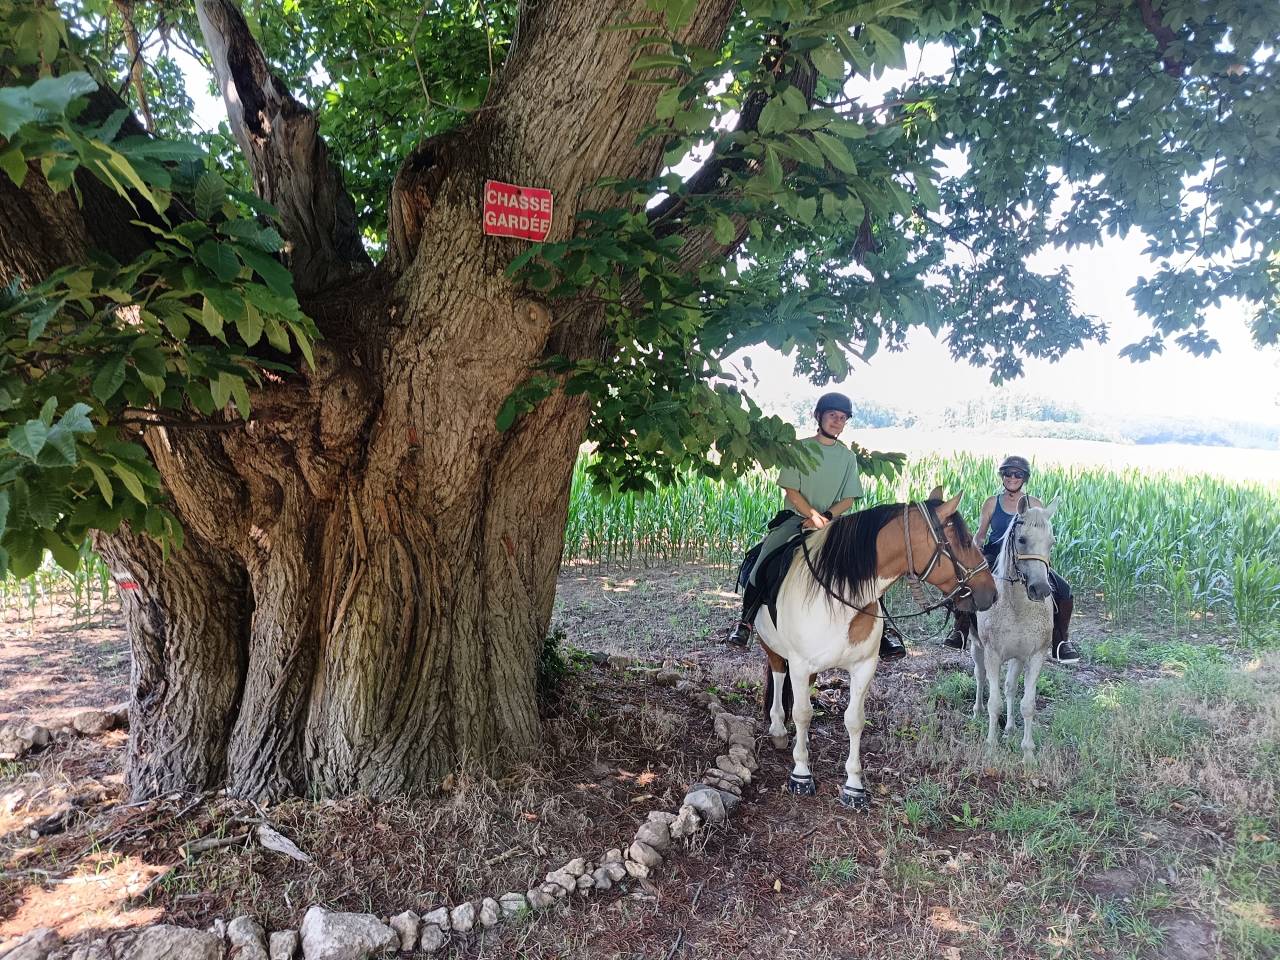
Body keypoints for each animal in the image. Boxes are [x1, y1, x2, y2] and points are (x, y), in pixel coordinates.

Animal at [754, 489, 997, 809]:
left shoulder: (864, 667)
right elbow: (803, 713)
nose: (991, 593)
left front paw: (854, 786)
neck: (839, 597)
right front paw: (801, 774)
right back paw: (779, 728)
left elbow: (854, 720)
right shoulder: (799, 663)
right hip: (773, 649)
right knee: (778, 675)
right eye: (965, 540)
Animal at [963, 497, 1058, 760]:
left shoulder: (1034, 656)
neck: (1017, 609)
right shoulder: (993, 654)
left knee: (1009, 688)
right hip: (977, 647)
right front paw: (990, 747)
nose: (1040, 589)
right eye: (1022, 540)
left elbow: (1027, 704)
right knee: (980, 677)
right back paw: (977, 712)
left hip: (1016, 658)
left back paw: (1010, 728)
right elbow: (993, 703)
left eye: (1052, 542)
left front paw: (1028, 753)